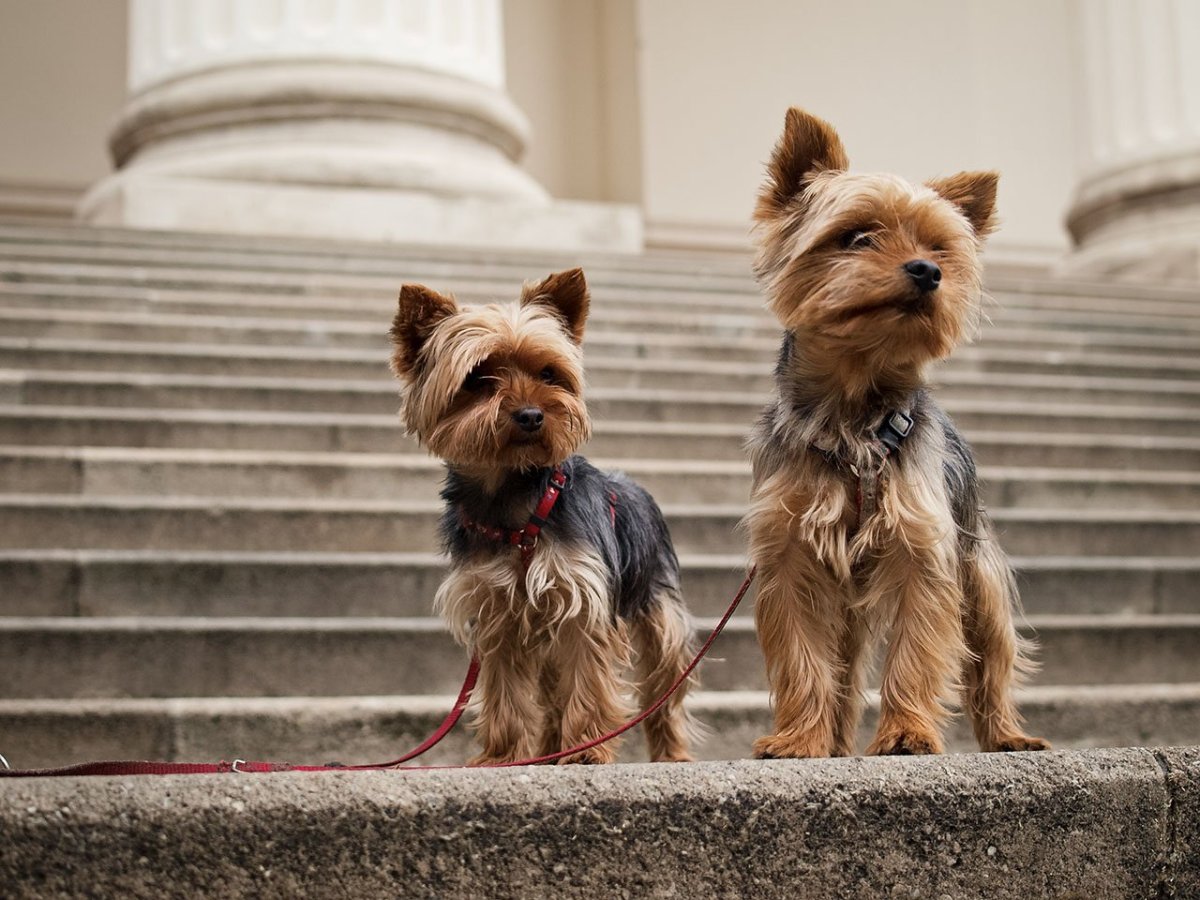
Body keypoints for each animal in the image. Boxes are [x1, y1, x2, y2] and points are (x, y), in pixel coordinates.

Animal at [388, 270, 700, 768]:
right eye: (478, 377)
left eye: (548, 373)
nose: (532, 415)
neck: (516, 505)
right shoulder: (496, 612)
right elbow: (506, 693)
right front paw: (502, 756)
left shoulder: (583, 604)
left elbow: (588, 680)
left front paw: (587, 750)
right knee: (552, 696)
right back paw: (550, 751)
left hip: (658, 608)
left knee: (664, 684)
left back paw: (670, 753)